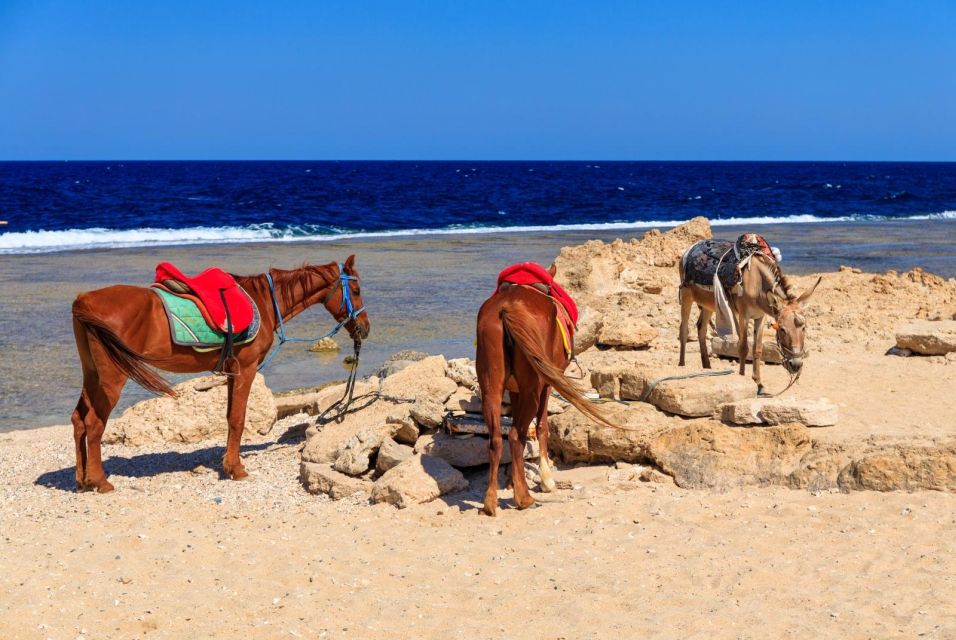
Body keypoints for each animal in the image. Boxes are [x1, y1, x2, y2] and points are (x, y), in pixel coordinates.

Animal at [70, 256, 370, 496]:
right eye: (355, 290)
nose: (365, 328)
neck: (264, 301)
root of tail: (83, 300)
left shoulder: (231, 371)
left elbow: (229, 418)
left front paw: (228, 464)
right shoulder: (246, 369)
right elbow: (238, 419)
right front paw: (236, 469)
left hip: (92, 373)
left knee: (79, 420)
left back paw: (82, 479)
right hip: (112, 378)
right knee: (94, 424)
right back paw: (100, 481)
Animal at [476, 262, 616, 516]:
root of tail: (506, 308)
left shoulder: (515, 390)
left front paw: (513, 480)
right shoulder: (548, 384)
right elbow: (542, 426)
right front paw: (545, 480)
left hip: (491, 387)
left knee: (497, 439)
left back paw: (490, 501)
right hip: (534, 387)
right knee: (515, 435)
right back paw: (524, 498)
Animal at [680, 238, 820, 392]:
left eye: (804, 328)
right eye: (782, 329)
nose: (796, 364)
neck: (757, 283)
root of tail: (692, 247)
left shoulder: (760, 317)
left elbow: (757, 349)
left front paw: (759, 384)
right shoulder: (744, 316)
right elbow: (743, 348)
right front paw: (742, 376)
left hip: (708, 304)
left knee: (701, 328)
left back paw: (707, 367)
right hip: (686, 296)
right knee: (684, 330)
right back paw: (682, 365)